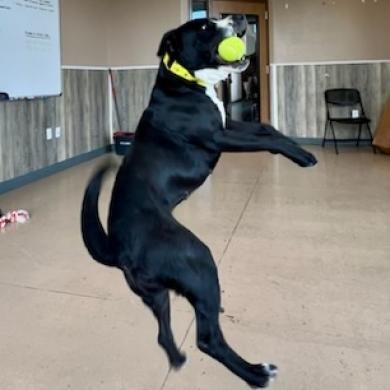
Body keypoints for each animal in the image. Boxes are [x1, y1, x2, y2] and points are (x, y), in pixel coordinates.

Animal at [81, 14, 316, 386]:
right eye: (205, 27)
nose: (238, 18)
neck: (186, 81)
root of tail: (118, 250)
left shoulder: (229, 122)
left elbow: (267, 129)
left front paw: (297, 146)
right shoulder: (218, 136)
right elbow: (268, 140)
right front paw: (302, 156)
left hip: (157, 295)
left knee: (164, 334)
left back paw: (178, 359)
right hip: (197, 258)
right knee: (208, 338)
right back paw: (256, 374)